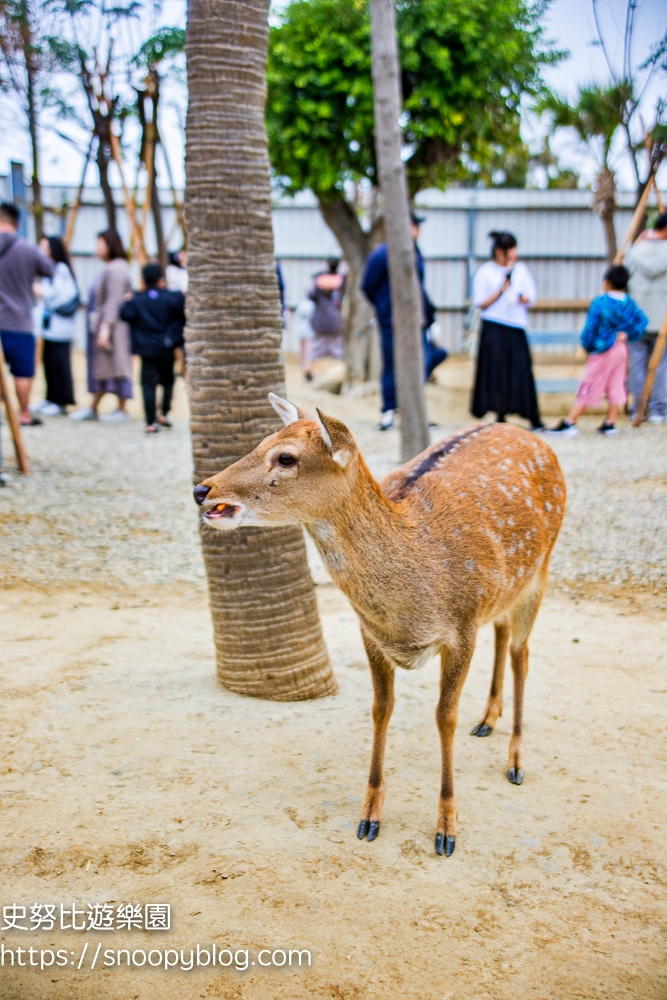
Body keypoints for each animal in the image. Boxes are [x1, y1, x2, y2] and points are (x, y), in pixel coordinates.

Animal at [193, 394, 564, 856]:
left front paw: (446, 828)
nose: (202, 489)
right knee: (502, 632)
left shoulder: (461, 627)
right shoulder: (371, 633)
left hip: (540, 570)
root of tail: (530, 436)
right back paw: (487, 720)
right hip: (504, 589)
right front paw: (369, 816)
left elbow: (445, 717)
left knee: (521, 653)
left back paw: (515, 760)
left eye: (286, 457)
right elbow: (380, 709)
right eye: (261, 441)